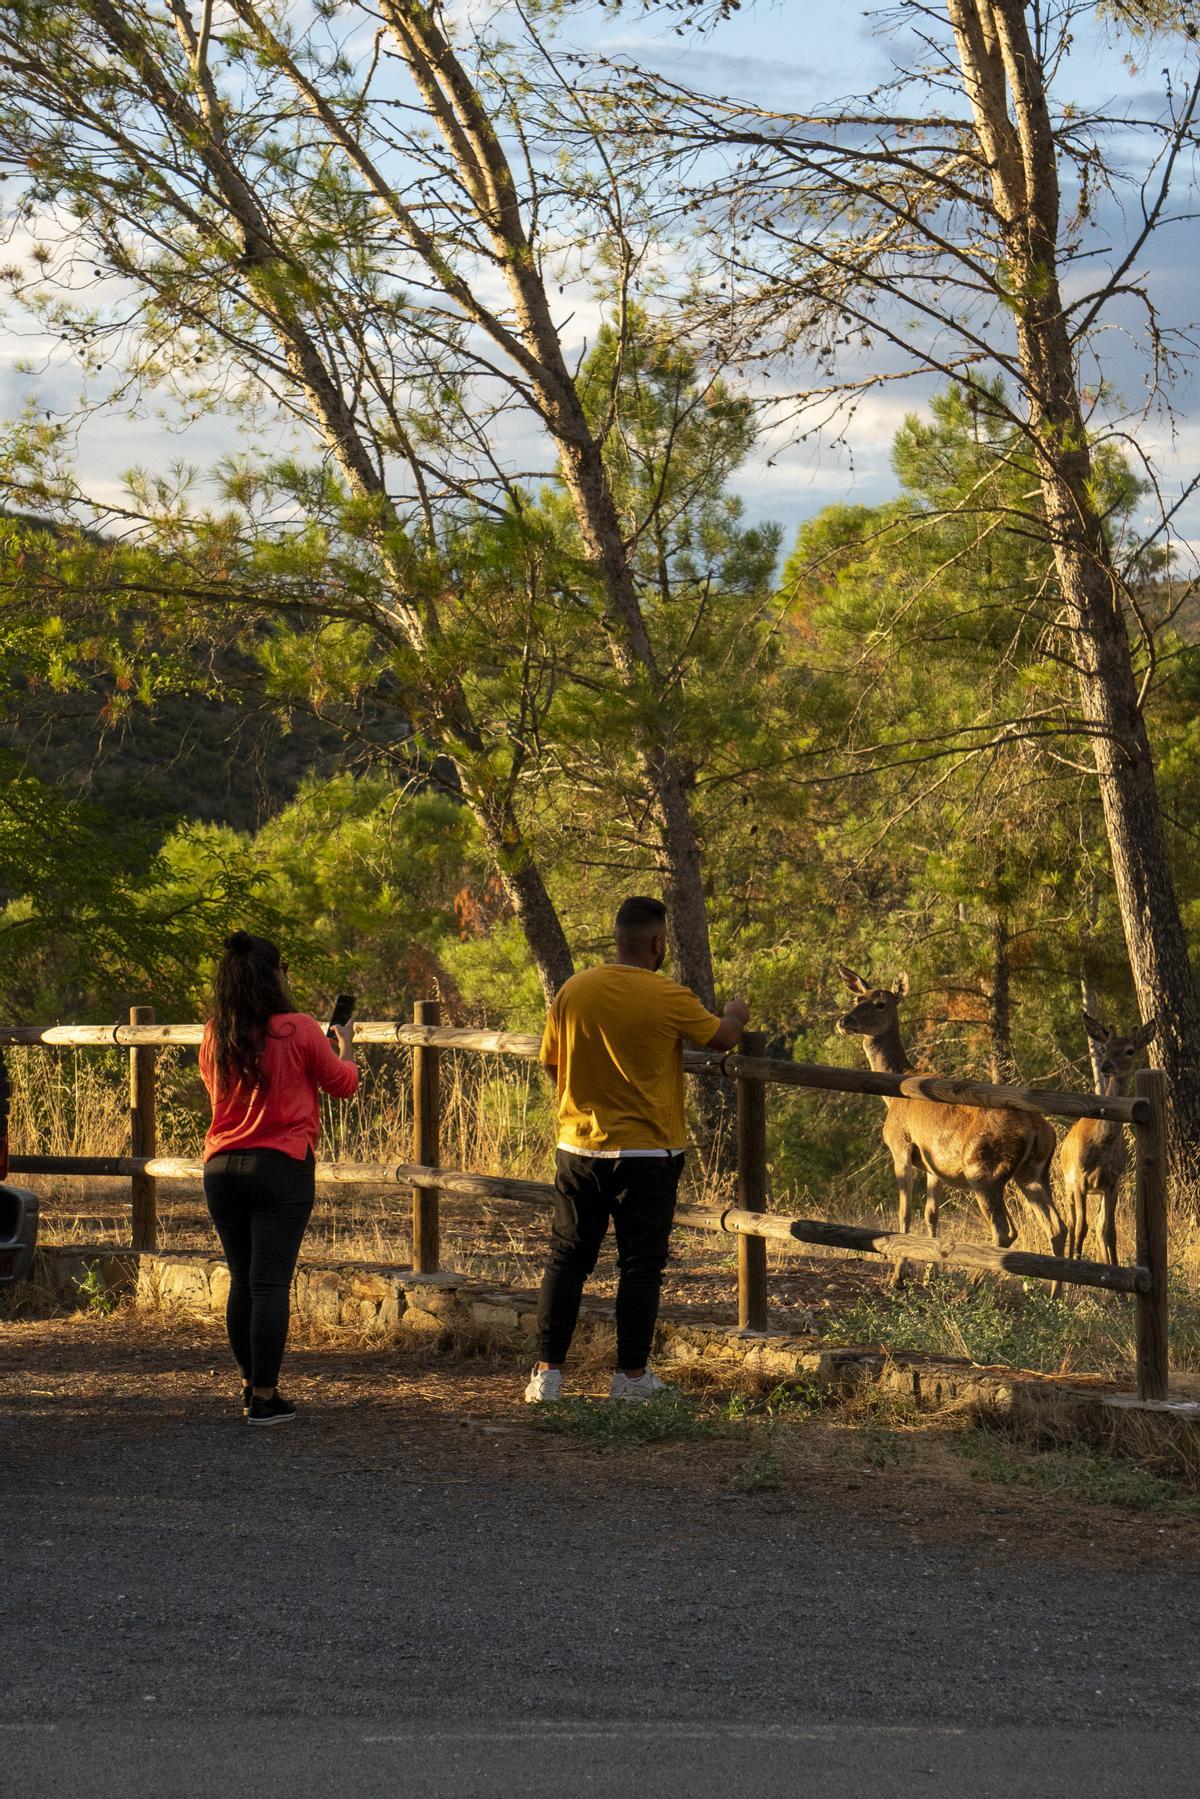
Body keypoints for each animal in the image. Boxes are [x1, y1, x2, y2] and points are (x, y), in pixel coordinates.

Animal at [834, 964, 1072, 1273]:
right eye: (856, 998)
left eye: (880, 1003)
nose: (845, 1020)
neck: (894, 1094)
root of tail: (1037, 1128)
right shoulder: (933, 1164)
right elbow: (931, 1214)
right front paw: (930, 1274)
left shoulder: (900, 1146)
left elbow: (904, 1214)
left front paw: (899, 1275)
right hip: (1033, 1172)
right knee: (1057, 1227)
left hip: (983, 1170)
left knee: (1005, 1231)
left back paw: (974, 1281)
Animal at [1065, 1014, 1158, 1266]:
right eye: (1104, 1048)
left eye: (1130, 1050)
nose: (1106, 1065)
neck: (1102, 1144)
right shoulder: (1080, 1180)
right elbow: (1081, 1228)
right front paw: (1076, 1268)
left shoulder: (1113, 1182)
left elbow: (1109, 1231)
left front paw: (1116, 1272)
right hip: (1066, 1185)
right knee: (1070, 1224)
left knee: (1097, 1227)